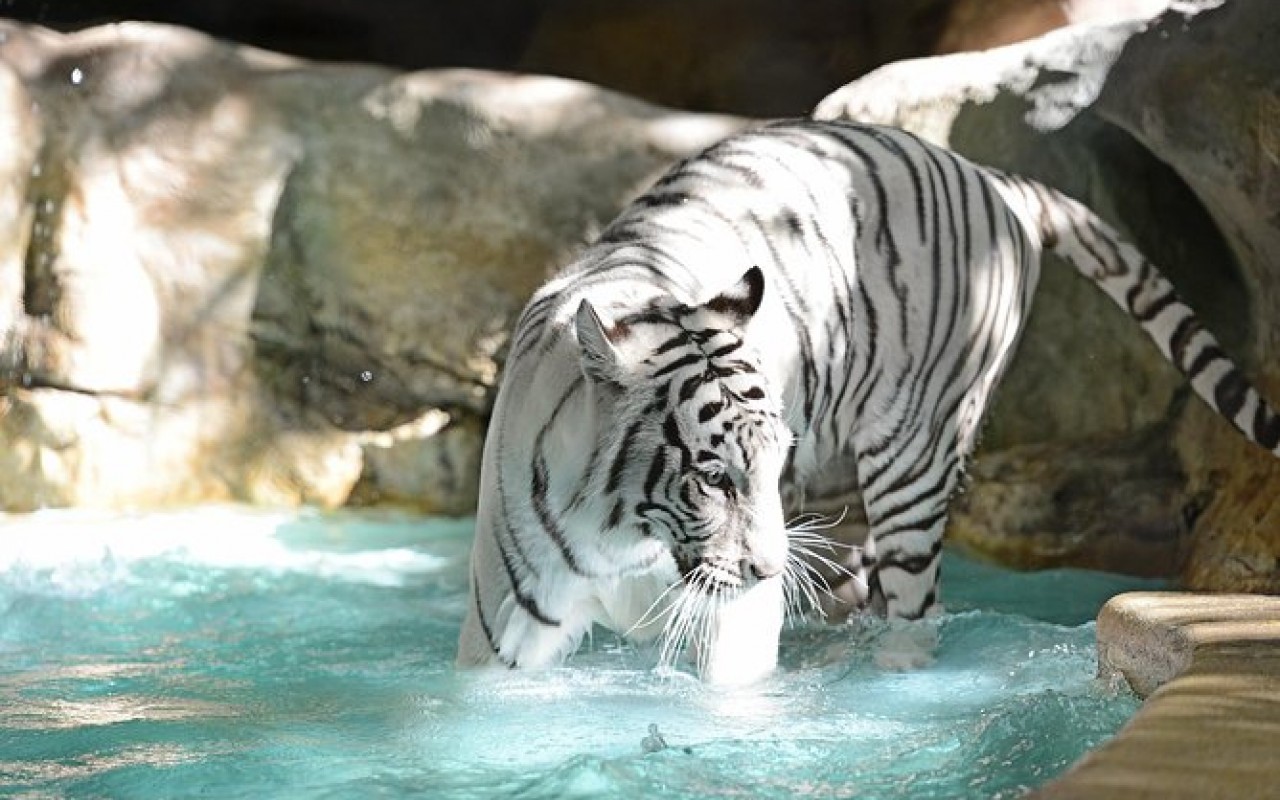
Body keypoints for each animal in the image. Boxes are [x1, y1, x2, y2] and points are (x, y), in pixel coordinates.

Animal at [455, 115, 1274, 680]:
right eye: (712, 476)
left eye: (766, 463)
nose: (769, 572)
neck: (624, 531)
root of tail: (988, 174)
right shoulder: (505, 629)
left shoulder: (735, 612)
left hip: (915, 455)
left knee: (917, 608)